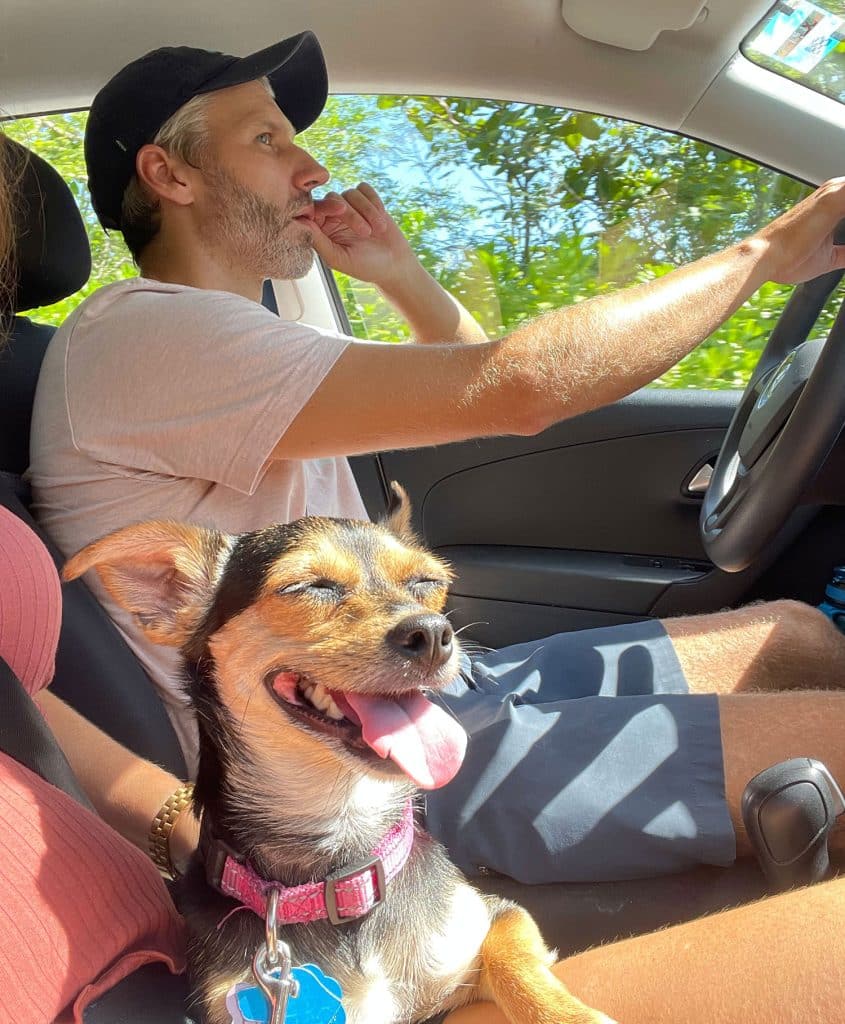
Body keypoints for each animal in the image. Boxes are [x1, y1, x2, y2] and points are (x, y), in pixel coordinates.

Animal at [62, 485, 610, 1024]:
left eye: (427, 582)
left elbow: (515, 960)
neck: (344, 860)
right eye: (310, 587)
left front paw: (568, 1015)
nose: (433, 632)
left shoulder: (494, 918)